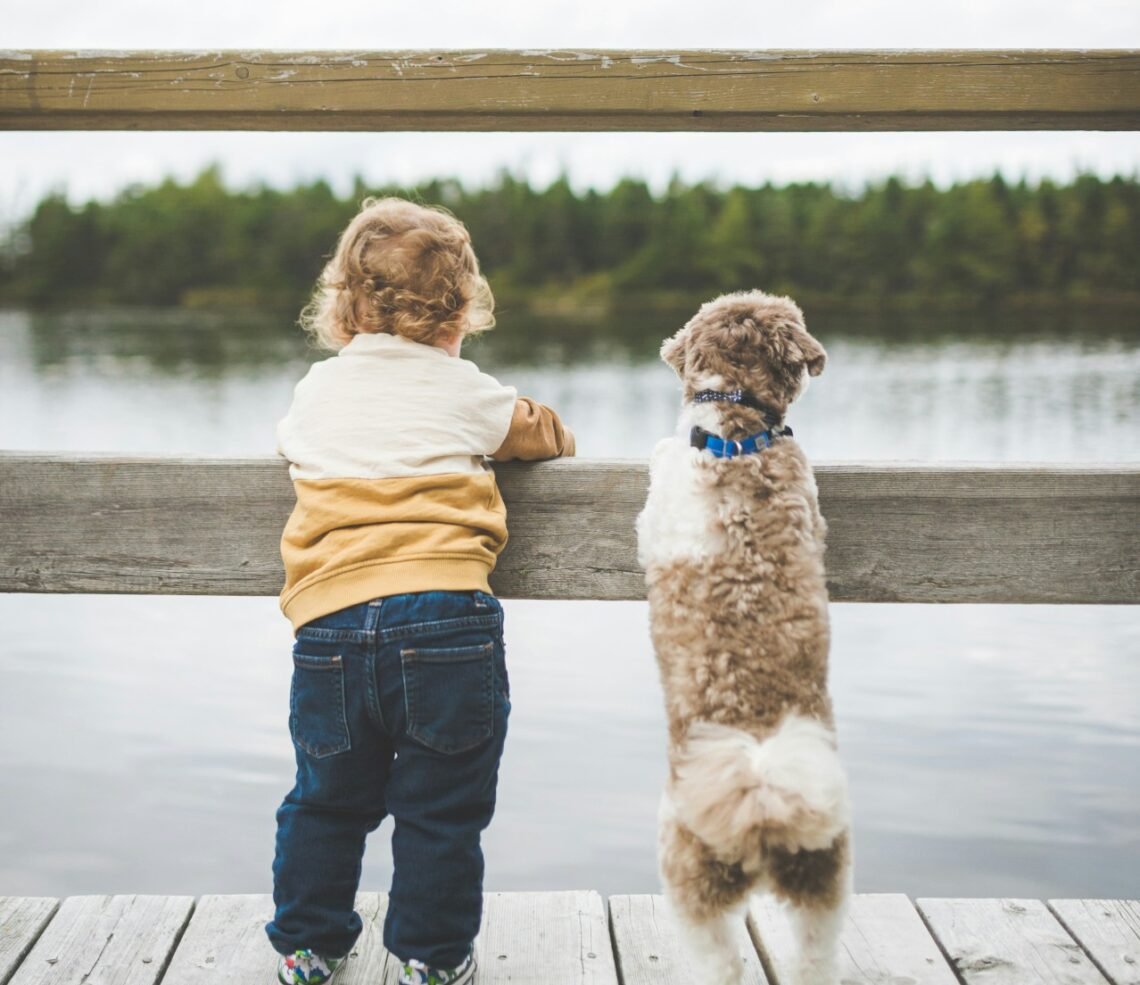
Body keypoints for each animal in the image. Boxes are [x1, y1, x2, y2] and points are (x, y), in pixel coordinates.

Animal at [638, 291, 852, 984]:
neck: (737, 431)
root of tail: (761, 808)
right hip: (822, 884)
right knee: (815, 956)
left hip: (689, 882)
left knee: (718, 963)